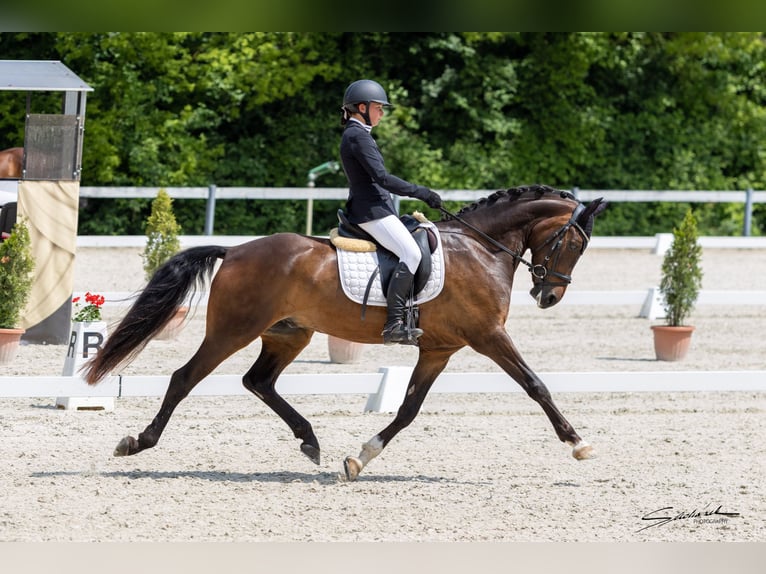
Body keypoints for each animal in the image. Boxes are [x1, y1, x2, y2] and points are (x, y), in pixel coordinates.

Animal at [84, 184, 608, 482]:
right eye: (574, 243)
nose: (549, 296)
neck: (481, 248)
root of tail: (233, 251)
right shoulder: (488, 336)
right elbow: (536, 385)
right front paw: (578, 443)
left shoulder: (439, 349)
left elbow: (408, 410)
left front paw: (359, 459)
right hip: (232, 331)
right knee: (185, 377)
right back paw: (138, 442)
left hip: (288, 334)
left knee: (258, 381)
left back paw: (310, 441)